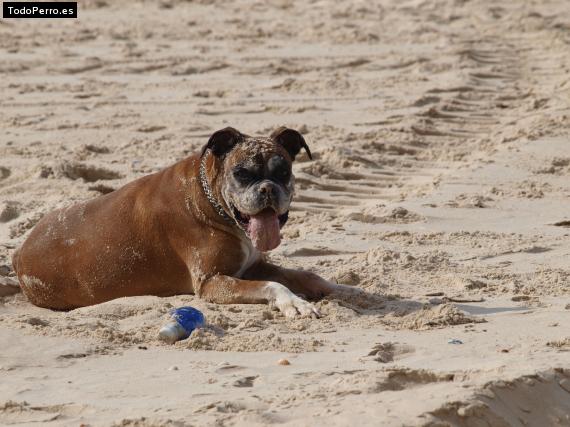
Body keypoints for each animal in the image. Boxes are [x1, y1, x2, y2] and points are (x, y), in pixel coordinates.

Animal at [11, 127, 358, 318]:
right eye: (242, 173)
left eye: (283, 171)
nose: (267, 189)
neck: (210, 200)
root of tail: (18, 253)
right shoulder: (213, 282)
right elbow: (275, 285)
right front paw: (294, 303)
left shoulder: (253, 266)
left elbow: (307, 275)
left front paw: (343, 289)